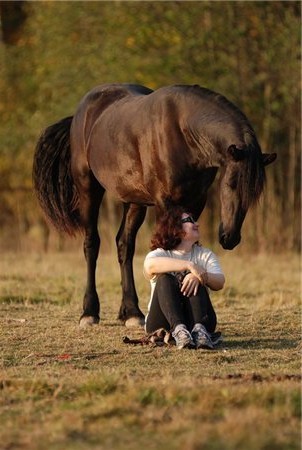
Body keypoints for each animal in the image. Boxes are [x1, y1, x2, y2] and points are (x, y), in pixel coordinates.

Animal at [32, 82, 276, 326]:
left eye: (254, 194)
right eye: (231, 184)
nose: (230, 237)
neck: (183, 133)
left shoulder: (196, 201)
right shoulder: (164, 203)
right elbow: (163, 249)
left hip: (134, 200)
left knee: (124, 245)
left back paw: (131, 312)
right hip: (88, 188)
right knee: (91, 245)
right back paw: (89, 312)